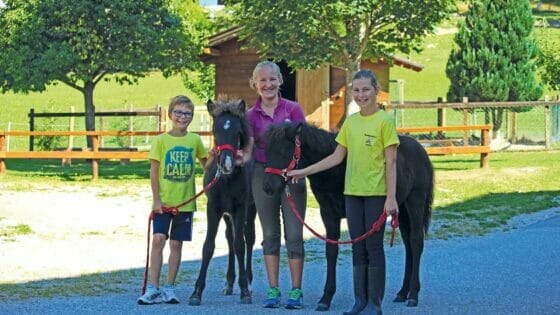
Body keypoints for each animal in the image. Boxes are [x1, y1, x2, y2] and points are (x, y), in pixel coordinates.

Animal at [190, 100, 256, 306]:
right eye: (215, 131)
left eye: (237, 132)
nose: (227, 164)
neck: (226, 179)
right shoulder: (213, 209)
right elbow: (208, 246)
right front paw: (196, 292)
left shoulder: (240, 209)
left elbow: (240, 245)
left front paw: (244, 291)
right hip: (227, 215)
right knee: (229, 239)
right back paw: (229, 283)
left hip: (250, 210)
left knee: (248, 238)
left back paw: (248, 281)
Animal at [262, 122, 434, 312]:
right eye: (266, 151)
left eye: (284, 151)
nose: (268, 187)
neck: (334, 171)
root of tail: (421, 150)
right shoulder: (329, 215)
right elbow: (331, 252)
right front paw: (326, 299)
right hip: (401, 210)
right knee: (408, 245)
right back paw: (402, 293)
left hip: (415, 203)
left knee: (416, 242)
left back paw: (413, 296)